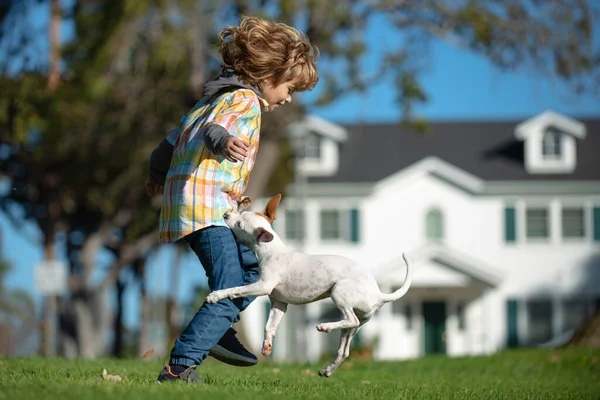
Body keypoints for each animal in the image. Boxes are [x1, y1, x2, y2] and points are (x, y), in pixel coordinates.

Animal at [207, 195, 412, 376]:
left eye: (240, 224)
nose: (226, 214)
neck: (271, 251)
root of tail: (378, 294)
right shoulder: (279, 304)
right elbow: (269, 326)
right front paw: (267, 345)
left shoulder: (262, 286)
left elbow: (235, 290)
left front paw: (216, 295)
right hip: (355, 325)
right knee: (344, 350)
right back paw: (327, 370)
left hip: (339, 292)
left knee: (350, 319)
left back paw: (325, 327)